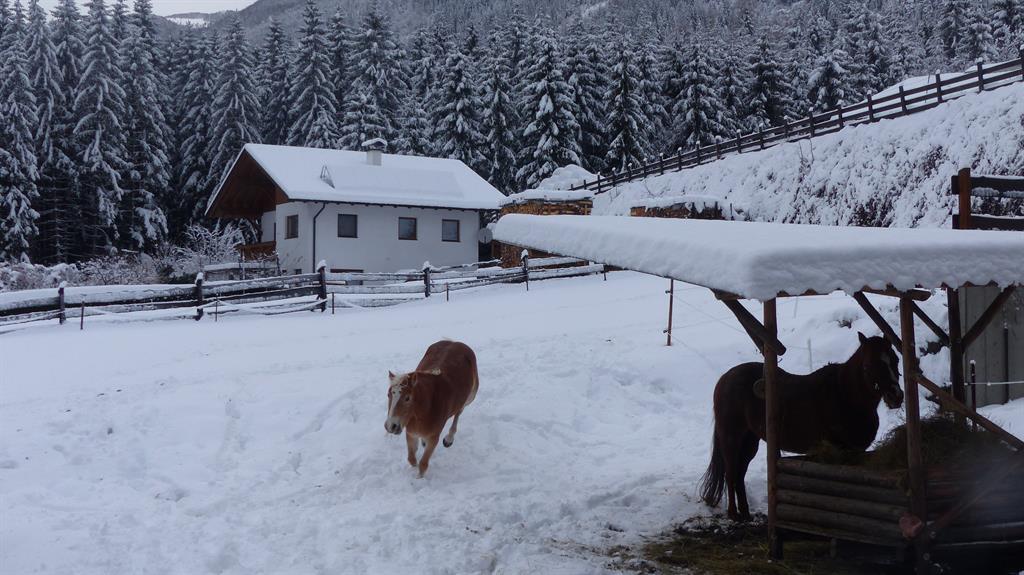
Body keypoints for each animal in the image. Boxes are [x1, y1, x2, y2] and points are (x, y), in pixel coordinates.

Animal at [385, 340, 479, 478]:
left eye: (407, 398)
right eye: (388, 395)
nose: (391, 426)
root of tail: (455, 342)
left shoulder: (434, 437)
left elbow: (423, 464)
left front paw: (419, 479)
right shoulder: (411, 433)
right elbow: (412, 459)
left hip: (470, 397)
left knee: (459, 412)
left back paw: (449, 439)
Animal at [700, 332, 905, 520]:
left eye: (895, 360)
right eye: (869, 364)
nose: (896, 395)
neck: (844, 395)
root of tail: (725, 378)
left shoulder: (857, 451)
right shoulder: (837, 452)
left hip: (750, 440)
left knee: (740, 474)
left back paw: (746, 513)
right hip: (731, 438)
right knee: (731, 473)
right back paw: (734, 514)